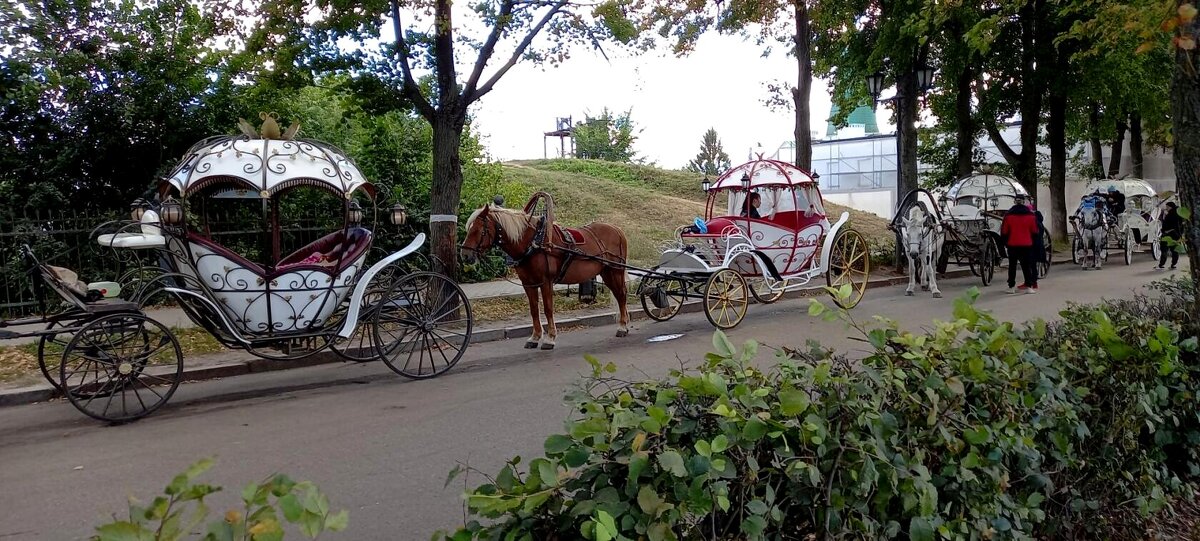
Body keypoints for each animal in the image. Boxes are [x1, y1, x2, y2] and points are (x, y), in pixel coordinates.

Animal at [458, 200, 633, 352]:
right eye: (469, 229)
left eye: (479, 230)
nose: (465, 255)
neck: (533, 242)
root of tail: (617, 229)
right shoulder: (528, 283)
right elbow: (534, 309)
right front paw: (535, 337)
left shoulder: (545, 282)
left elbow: (548, 309)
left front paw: (550, 338)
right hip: (607, 272)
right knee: (619, 296)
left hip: (615, 271)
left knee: (621, 296)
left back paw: (623, 326)